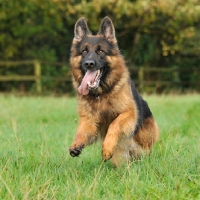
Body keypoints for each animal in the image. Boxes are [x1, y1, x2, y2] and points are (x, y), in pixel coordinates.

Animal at [69, 16, 159, 167]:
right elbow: (81, 131)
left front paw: (107, 148)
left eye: (101, 51)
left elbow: (114, 124)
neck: (100, 94)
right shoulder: (89, 120)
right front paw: (76, 143)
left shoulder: (129, 113)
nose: (89, 63)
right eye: (84, 51)